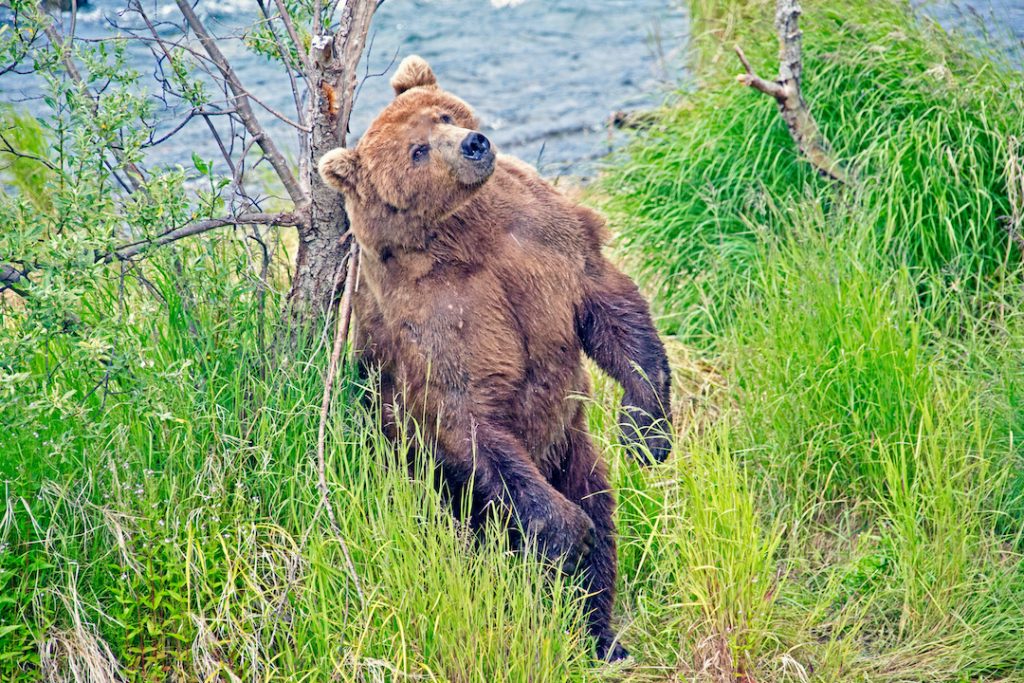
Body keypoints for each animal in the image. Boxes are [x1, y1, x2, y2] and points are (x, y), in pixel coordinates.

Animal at [318, 55, 672, 661]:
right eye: (416, 150)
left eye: (442, 114)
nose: (473, 144)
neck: (465, 234)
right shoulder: (439, 317)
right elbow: (470, 417)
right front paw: (565, 533)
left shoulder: (542, 232)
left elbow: (608, 300)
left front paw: (645, 430)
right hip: (432, 480)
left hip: (571, 449)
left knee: (603, 509)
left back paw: (600, 635)